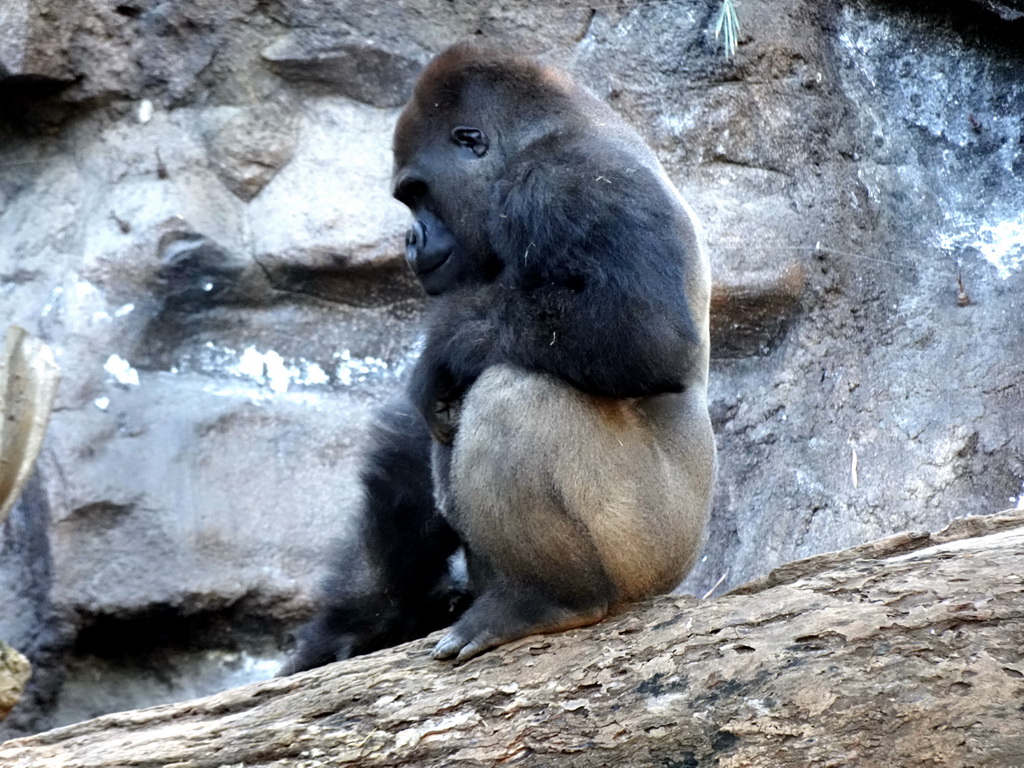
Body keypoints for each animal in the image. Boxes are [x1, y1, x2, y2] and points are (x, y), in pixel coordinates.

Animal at [280, 41, 712, 671]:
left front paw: (443, 347)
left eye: (417, 193)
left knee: (514, 392)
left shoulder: (567, 184)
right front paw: (362, 619)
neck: (543, 134)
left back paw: (547, 601)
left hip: (653, 552)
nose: (409, 240)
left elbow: (643, 333)